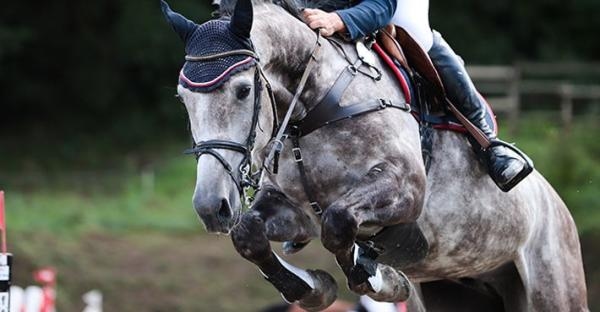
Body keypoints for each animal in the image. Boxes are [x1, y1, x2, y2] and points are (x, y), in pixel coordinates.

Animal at [161, 0, 584, 310]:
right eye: (182, 99)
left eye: (244, 90)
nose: (211, 207)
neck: (313, 108)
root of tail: (560, 207)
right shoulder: (294, 211)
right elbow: (248, 233)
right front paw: (311, 288)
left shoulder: (406, 189)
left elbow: (339, 222)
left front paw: (381, 277)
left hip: (553, 283)